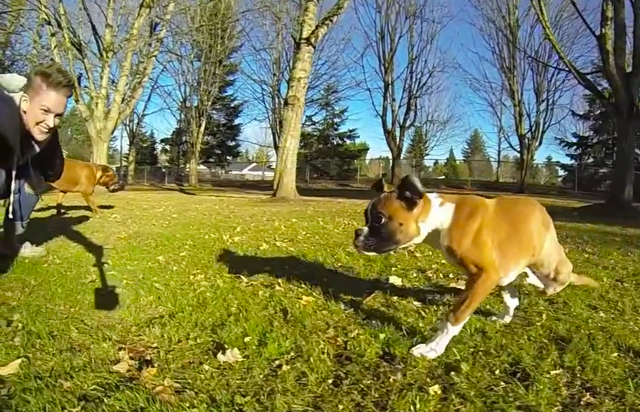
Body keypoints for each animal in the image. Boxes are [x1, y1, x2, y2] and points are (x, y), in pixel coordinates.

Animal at [352, 175, 596, 360]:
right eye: (366, 217)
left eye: (380, 220)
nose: (357, 233)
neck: (441, 219)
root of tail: (540, 208)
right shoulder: (488, 275)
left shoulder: (484, 276)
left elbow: (454, 317)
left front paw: (433, 348)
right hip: (506, 272)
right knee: (513, 293)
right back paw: (510, 306)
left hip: (548, 265)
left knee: (560, 277)